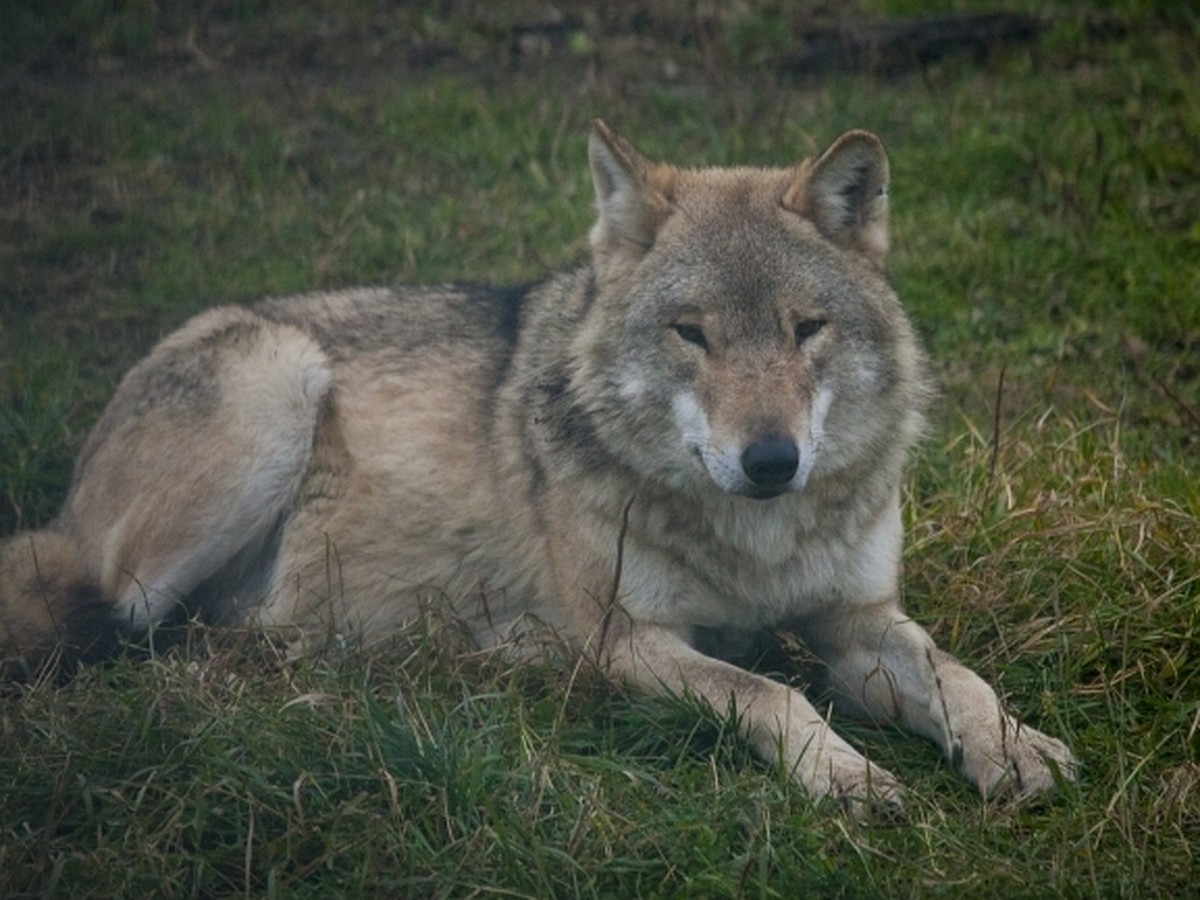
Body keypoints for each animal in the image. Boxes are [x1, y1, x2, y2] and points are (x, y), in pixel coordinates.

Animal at [0, 118, 1070, 811]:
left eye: (806, 329)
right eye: (693, 334)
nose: (772, 460)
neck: (757, 543)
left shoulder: (857, 620)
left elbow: (959, 679)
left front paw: (1015, 748)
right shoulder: (625, 638)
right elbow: (767, 690)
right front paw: (847, 774)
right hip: (272, 390)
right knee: (128, 628)